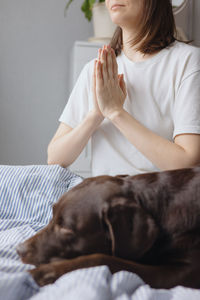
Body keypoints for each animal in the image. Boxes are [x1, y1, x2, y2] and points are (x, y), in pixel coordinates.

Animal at [16, 166, 200, 288]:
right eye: (52, 214)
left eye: (66, 228)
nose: (19, 249)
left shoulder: (183, 273)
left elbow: (104, 259)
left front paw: (43, 272)